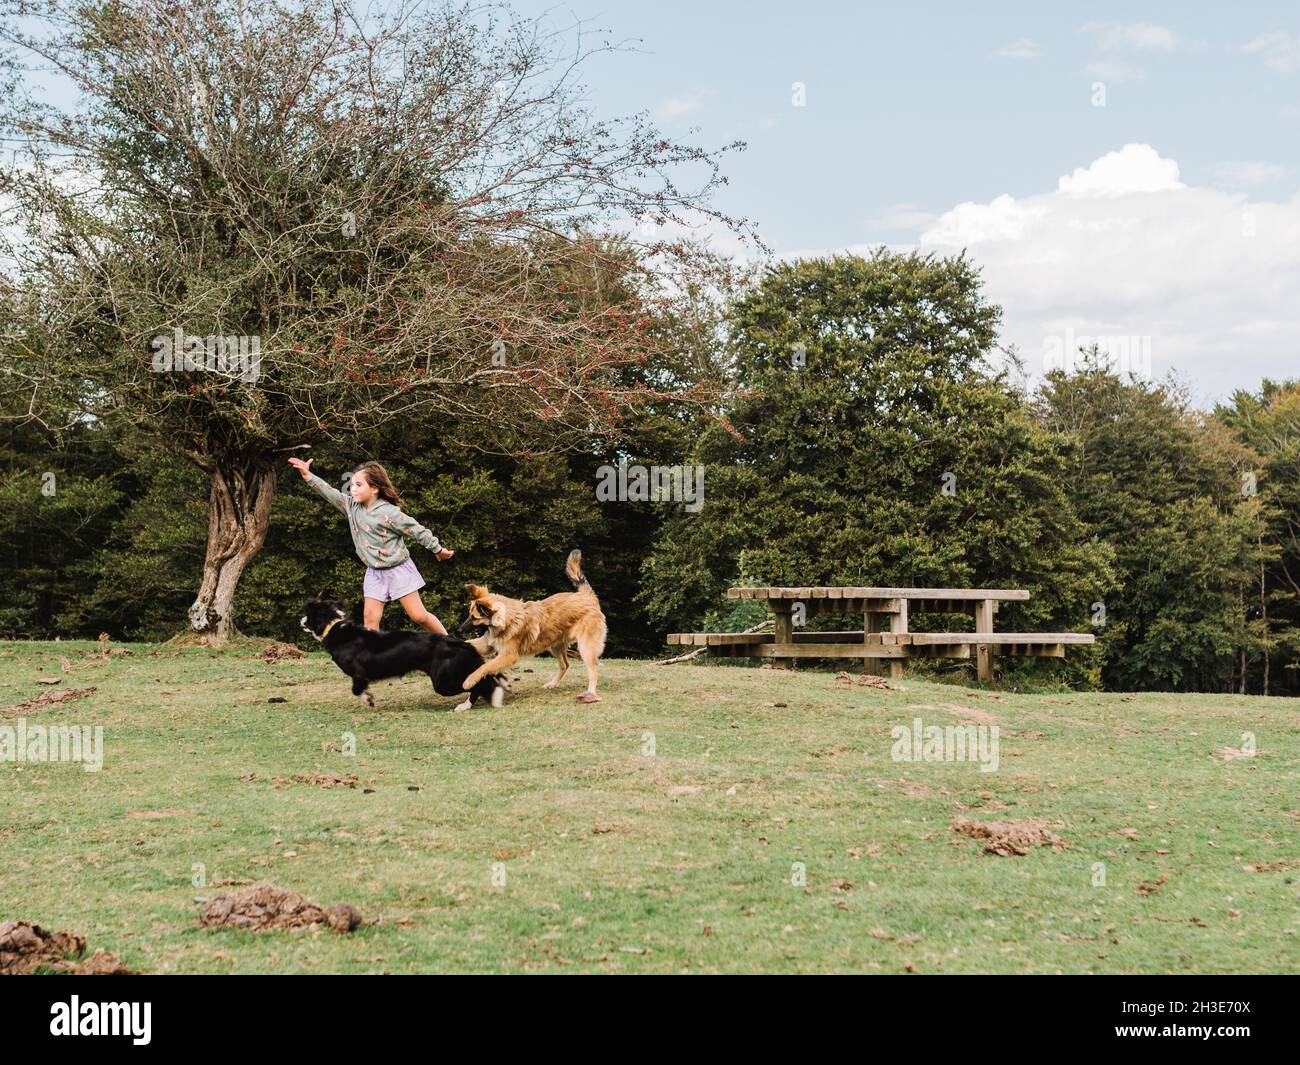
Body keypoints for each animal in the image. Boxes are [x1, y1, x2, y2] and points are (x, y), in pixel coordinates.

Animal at [301, 595, 504, 712]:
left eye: (308, 614)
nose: (300, 620)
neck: (333, 627)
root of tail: (459, 643)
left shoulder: (358, 674)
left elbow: (356, 690)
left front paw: (369, 700)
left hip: (442, 682)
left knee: (476, 685)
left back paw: (465, 706)